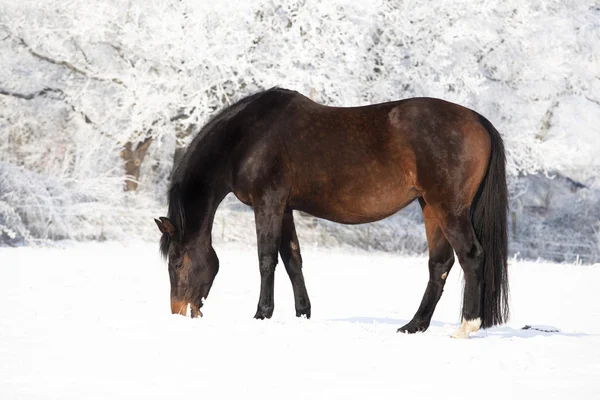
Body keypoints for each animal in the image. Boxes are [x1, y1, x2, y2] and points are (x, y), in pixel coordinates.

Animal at [156, 86, 510, 338]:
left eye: (177, 262)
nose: (178, 311)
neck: (248, 136)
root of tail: (479, 121)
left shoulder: (267, 202)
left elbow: (266, 259)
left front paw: (262, 313)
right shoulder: (284, 208)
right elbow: (292, 259)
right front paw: (302, 312)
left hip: (449, 209)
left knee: (470, 256)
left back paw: (466, 326)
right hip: (430, 208)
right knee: (440, 264)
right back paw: (414, 326)